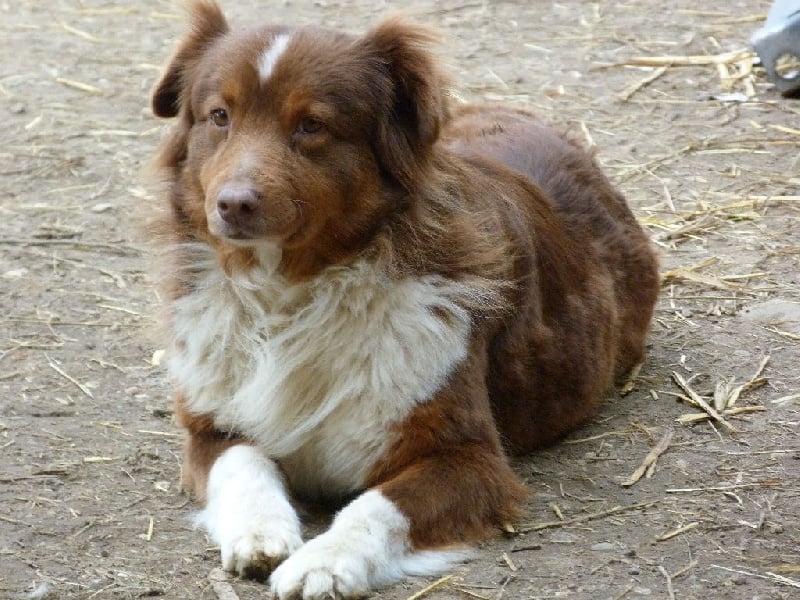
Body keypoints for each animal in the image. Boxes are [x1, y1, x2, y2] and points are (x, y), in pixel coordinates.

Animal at [147, 2, 660, 596]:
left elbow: (377, 507)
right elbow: (245, 464)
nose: (232, 204)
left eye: (312, 125)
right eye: (219, 116)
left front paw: (325, 561)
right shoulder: (209, 430)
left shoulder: (470, 460)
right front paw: (261, 531)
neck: (291, 294)